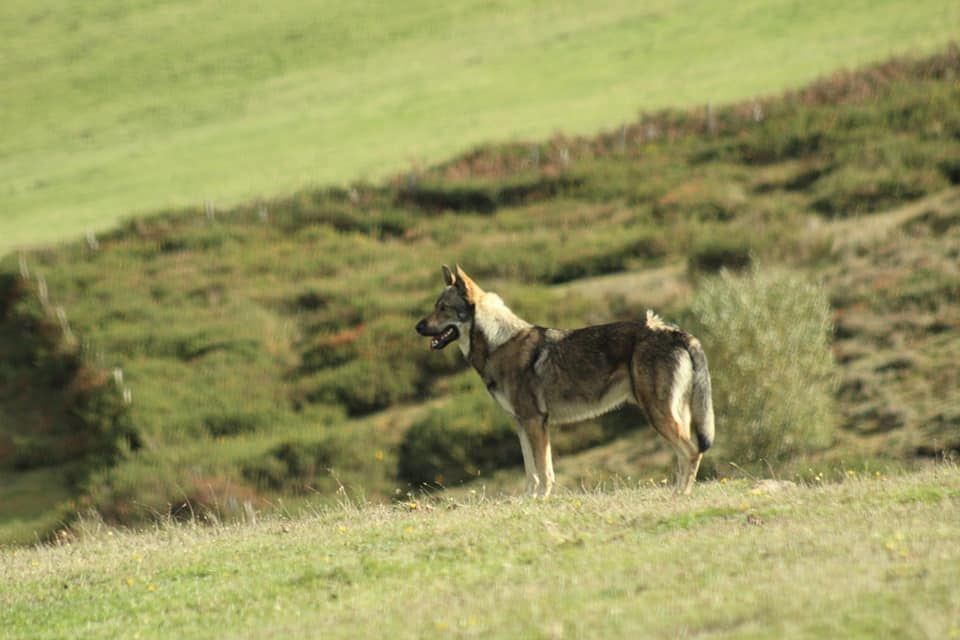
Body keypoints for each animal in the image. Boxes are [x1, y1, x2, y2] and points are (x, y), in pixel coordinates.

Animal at [415, 265, 715, 497]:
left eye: (443, 308)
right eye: (434, 307)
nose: (417, 327)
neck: (497, 345)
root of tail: (676, 332)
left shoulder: (536, 422)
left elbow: (543, 470)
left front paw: (541, 500)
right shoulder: (521, 423)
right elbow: (531, 471)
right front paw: (528, 501)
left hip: (657, 414)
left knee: (691, 451)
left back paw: (680, 495)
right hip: (672, 415)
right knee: (687, 453)